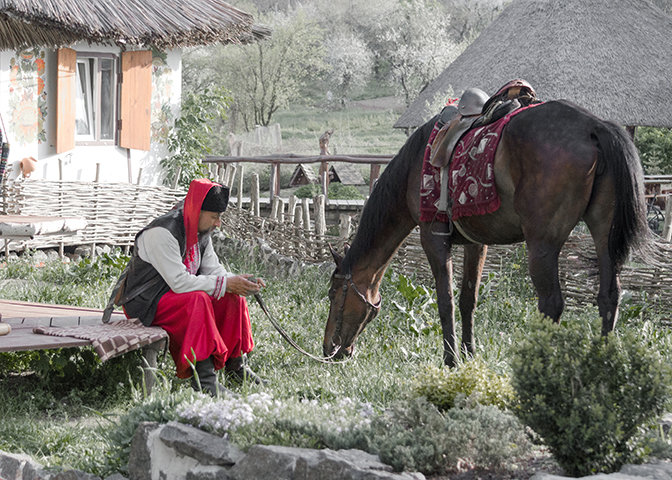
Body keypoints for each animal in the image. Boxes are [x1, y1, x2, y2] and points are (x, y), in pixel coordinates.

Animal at [322, 99, 652, 366]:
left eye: (332, 294)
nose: (329, 350)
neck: (413, 168)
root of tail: (594, 126)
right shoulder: (476, 243)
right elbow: (468, 299)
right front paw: (469, 353)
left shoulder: (433, 238)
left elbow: (446, 301)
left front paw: (451, 359)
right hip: (603, 233)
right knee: (609, 296)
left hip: (542, 244)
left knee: (552, 304)